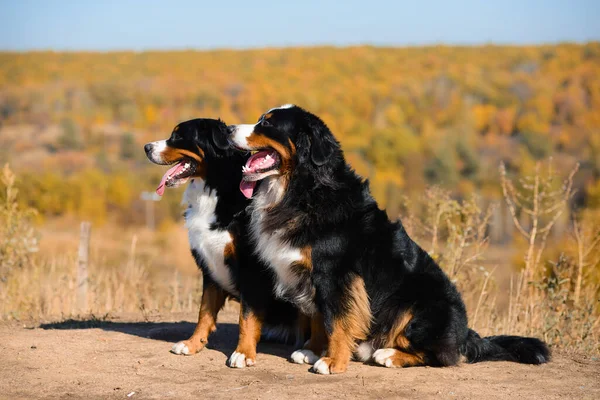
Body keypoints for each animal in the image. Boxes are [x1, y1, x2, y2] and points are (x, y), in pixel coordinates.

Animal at [143, 119, 308, 368]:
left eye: (178, 136)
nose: (146, 147)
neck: (215, 191)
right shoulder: (209, 267)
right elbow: (204, 312)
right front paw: (193, 344)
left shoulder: (251, 269)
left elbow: (246, 316)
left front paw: (243, 353)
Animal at [227, 105, 552, 376]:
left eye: (267, 123)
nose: (228, 128)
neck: (301, 190)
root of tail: (466, 332)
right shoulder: (312, 275)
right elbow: (319, 315)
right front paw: (312, 349)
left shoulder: (335, 274)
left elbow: (336, 320)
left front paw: (332, 361)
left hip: (421, 304)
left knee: (442, 356)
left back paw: (389, 355)